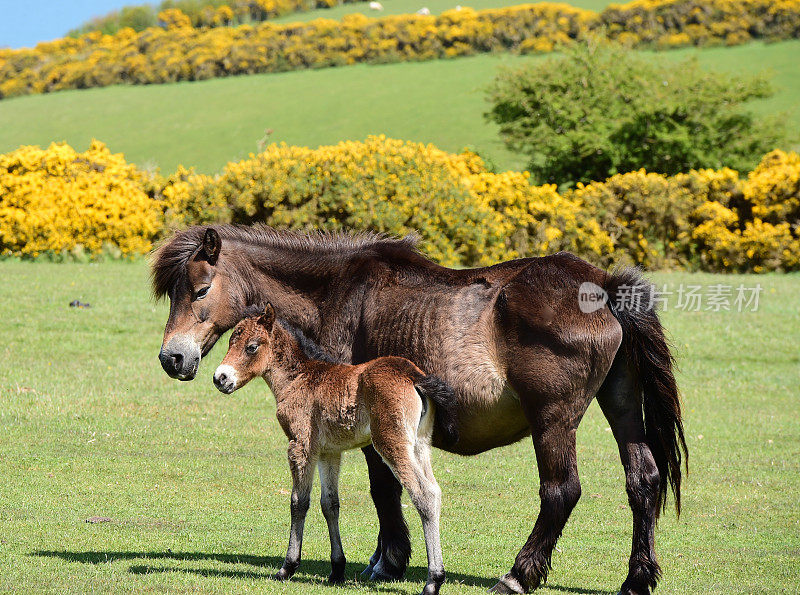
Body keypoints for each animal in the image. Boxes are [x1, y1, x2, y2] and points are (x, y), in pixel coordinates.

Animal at [212, 308, 460, 595]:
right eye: (230, 342)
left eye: (252, 347)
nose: (220, 378)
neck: (299, 378)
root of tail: (411, 374)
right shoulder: (328, 452)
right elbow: (330, 504)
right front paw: (337, 569)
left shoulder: (301, 445)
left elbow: (299, 502)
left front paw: (288, 567)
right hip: (419, 445)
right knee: (435, 491)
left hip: (391, 442)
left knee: (423, 494)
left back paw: (433, 581)